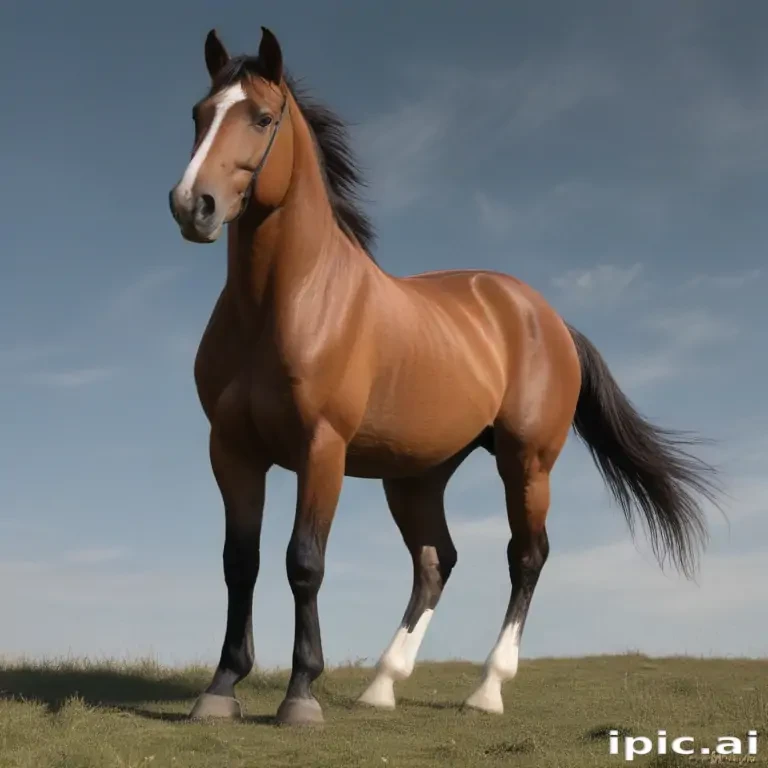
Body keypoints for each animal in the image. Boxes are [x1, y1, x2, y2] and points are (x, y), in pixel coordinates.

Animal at [167, 27, 721, 725]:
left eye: (262, 118)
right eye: (198, 114)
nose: (193, 205)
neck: (288, 302)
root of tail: (548, 317)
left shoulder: (321, 450)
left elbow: (304, 562)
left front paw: (301, 695)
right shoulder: (233, 451)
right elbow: (240, 563)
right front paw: (221, 688)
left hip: (526, 463)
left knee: (526, 557)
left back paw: (487, 688)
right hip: (417, 476)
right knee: (436, 561)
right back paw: (382, 684)